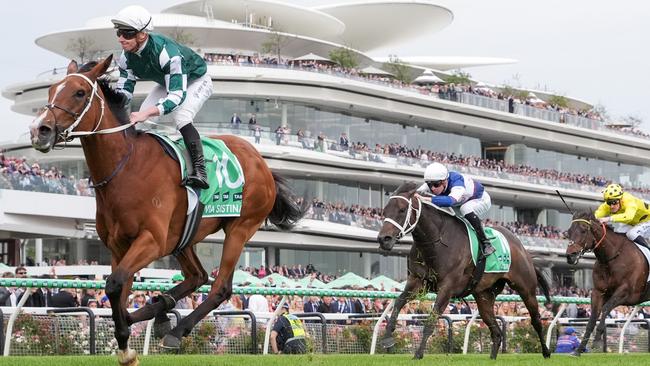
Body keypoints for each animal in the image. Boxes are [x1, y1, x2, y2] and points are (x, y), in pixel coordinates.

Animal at [29, 55, 302, 364]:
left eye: (79, 92)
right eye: (52, 90)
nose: (40, 130)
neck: (126, 168)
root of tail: (261, 162)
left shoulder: (152, 240)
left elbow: (114, 283)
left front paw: (126, 343)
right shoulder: (118, 247)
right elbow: (119, 287)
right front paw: (126, 339)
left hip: (239, 228)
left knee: (219, 287)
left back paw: (175, 330)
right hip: (183, 237)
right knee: (198, 276)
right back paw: (159, 311)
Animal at [560, 210, 648, 356]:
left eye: (583, 230)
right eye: (569, 231)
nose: (570, 256)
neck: (613, 257)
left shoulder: (625, 292)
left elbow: (605, 308)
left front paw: (597, 340)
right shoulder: (598, 292)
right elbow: (592, 318)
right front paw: (579, 349)